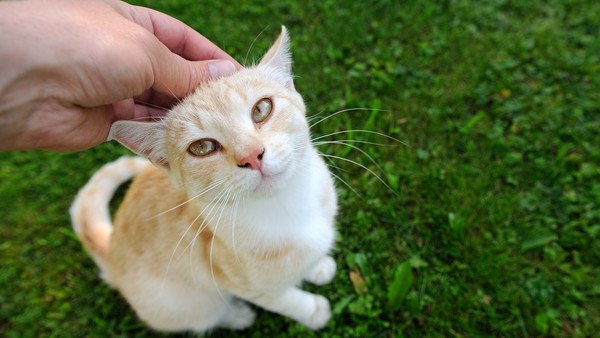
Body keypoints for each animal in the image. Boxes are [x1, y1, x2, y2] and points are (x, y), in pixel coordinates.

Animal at [70, 27, 338, 332]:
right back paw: (237, 316)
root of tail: (112, 251)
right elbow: (283, 299)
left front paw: (318, 266)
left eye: (261, 109)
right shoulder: (239, 281)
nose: (252, 156)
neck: (286, 206)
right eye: (202, 147)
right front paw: (313, 310)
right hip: (183, 303)